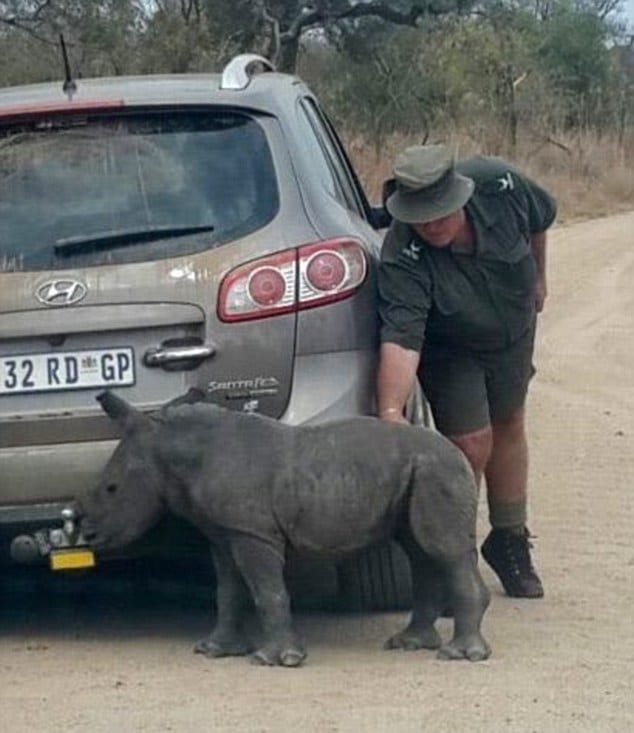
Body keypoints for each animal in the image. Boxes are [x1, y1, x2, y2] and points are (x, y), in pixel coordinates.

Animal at [80, 392, 488, 668]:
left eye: (111, 488)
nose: (88, 534)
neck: (173, 450)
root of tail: (457, 452)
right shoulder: (227, 532)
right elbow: (228, 592)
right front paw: (214, 650)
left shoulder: (254, 533)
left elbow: (267, 590)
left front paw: (274, 659)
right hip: (418, 473)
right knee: (420, 550)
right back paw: (410, 643)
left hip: (437, 470)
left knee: (443, 550)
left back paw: (459, 654)